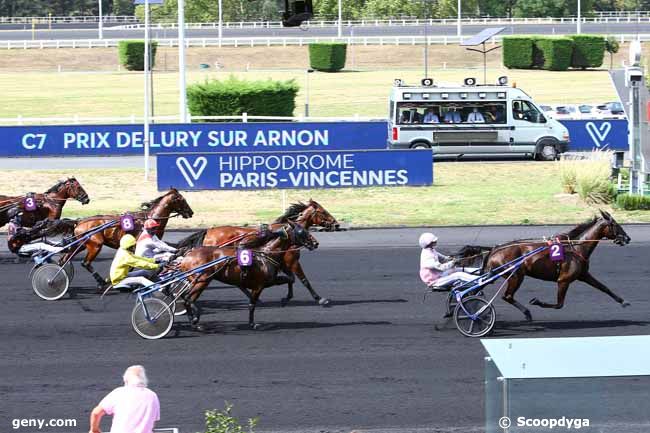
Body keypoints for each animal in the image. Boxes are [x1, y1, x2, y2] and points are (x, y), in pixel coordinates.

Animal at [60, 187, 192, 286]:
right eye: (182, 199)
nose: (191, 212)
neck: (149, 219)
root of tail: (79, 221)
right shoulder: (138, 247)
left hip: (81, 244)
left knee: (65, 259)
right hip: (95, 245)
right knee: (85, 263)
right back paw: (101, 282)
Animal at [177, 201, 340, 306]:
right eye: (323, 211)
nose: (336, 224)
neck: (286, 232)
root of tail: (208, 231)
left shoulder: (281, 262)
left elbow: (291, 279)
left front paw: (287, 297)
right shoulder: (292, 261)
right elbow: (303, 280)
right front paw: (320, 299)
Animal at [177, 221, 318, 330]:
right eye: (302, 231)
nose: (315, 243)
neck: (266, 254)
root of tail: (187, 255)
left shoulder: (271, 280)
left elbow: (290, 279)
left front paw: (285, 299)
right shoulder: (259, 286)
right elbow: (252, 305)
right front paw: (252, 324)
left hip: (199, 281)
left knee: (186, 298)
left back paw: (194, 322)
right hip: (202, 280)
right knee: (188, 298)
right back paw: (195, 320)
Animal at [480, 209, 628, 320]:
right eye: (615, 224)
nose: (627, 238)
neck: (576, 247)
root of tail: (494, 250)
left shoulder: (584, 275)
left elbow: (604, 288)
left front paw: (623, 301)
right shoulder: (563, 280)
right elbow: (559, 304)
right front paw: (536, 301)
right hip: (515, 276)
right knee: (507, 296)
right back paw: (527, 313)